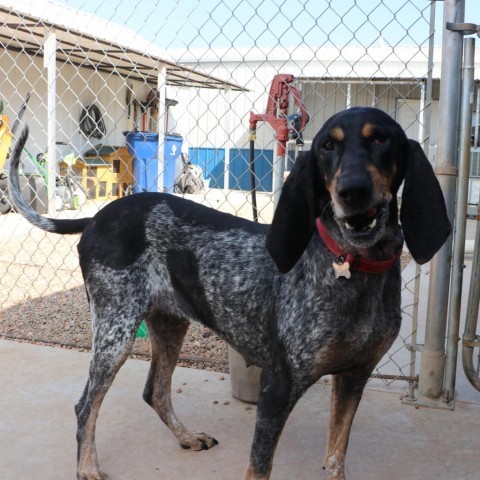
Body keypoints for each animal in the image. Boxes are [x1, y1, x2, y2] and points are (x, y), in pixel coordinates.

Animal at [8, 107, 450, 478]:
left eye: (381, 140)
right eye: (328, 146)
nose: (352, 192)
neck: (354, 267)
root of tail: (97, 216)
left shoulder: (354, 378)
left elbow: (336, 458)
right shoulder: (277, 388)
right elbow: (259, 468)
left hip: (169, 324)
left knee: (155, 392)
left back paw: (186, 437)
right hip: (114, 333)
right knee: (86, 405)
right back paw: (87, 468)